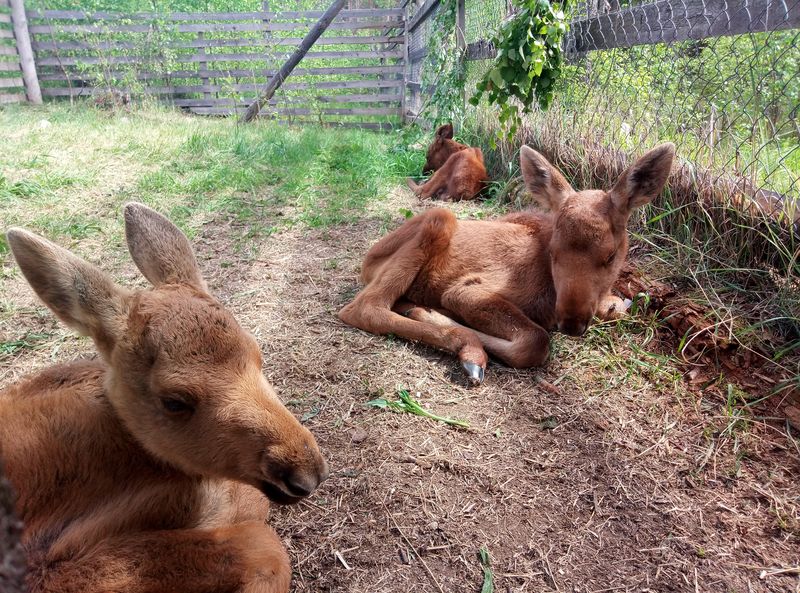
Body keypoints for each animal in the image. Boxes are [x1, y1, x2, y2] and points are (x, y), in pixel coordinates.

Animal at [341, 143, 675, 385]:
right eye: (553, 252)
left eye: (610, 256)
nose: (571, 323)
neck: (549, 295)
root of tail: (367, 262)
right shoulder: (465, 291)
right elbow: (536, 341)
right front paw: (445, 322)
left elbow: (614, 308)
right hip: (437, 218)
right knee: (363, 308)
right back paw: (465, 346)